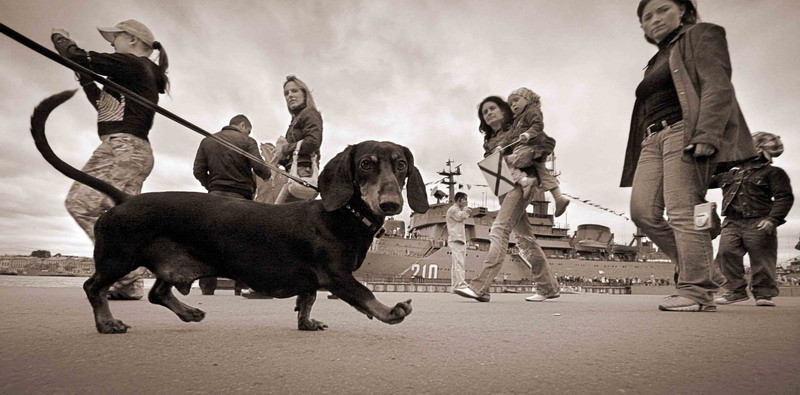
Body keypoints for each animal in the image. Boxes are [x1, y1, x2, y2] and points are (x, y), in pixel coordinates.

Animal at [31, 92, 432, 334]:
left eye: (400, 166)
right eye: (365, 164)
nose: (392, 204)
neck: (344, 214)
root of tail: (122, 199)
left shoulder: (313, 280)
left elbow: (307, 299)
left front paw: (307, 322)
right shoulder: (336, 274)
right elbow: (365, 295)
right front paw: (390, 311)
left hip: (171, 261)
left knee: (157, 293)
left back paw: (188, 312)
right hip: (119, 257)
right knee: (93, 286)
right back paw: (107, 322)